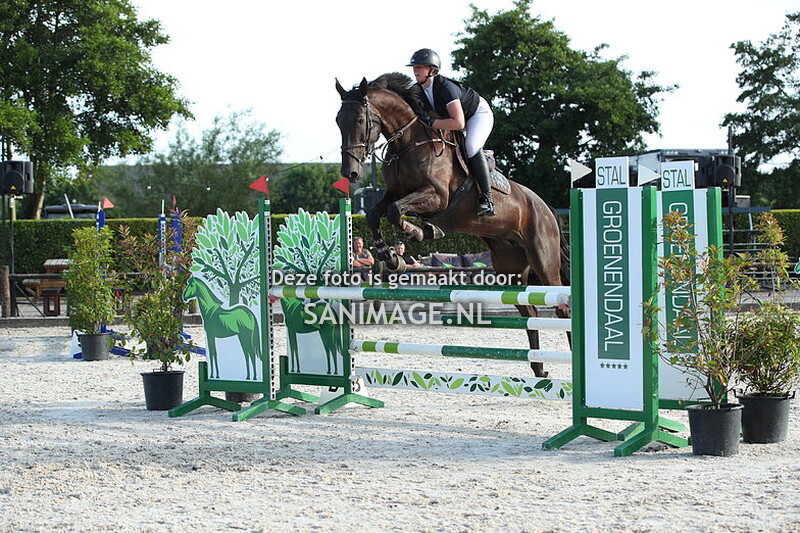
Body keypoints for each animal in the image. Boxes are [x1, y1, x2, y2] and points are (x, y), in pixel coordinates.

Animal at [335, 73, 570, 378]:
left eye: (361, 120)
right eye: (339, 120)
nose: (350, 173)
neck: (408, 143)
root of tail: (544, 207)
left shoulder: (436, 196)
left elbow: (396, 211)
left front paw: (416, 233)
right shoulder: (394, 193)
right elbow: (378, 214)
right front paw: (391, 257)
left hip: (543, 260)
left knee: (562, 309)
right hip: (511, 268)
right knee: (529, 313)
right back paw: (539, 368)